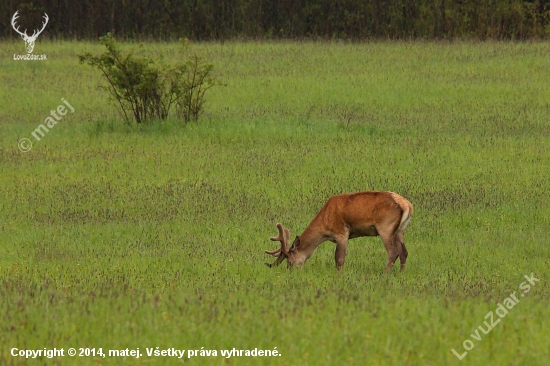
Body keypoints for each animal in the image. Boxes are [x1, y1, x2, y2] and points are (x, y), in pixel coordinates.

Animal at [266, 192, 414, 272]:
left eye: (290, 261)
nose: (290, 271)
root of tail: (407, 205)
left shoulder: (341, 232)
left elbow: (339, 258)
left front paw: (339, 275)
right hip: (400, 230)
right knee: (404, 252)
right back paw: (400, 273)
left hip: (385, 227)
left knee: (393, 252)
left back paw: (385, 273)